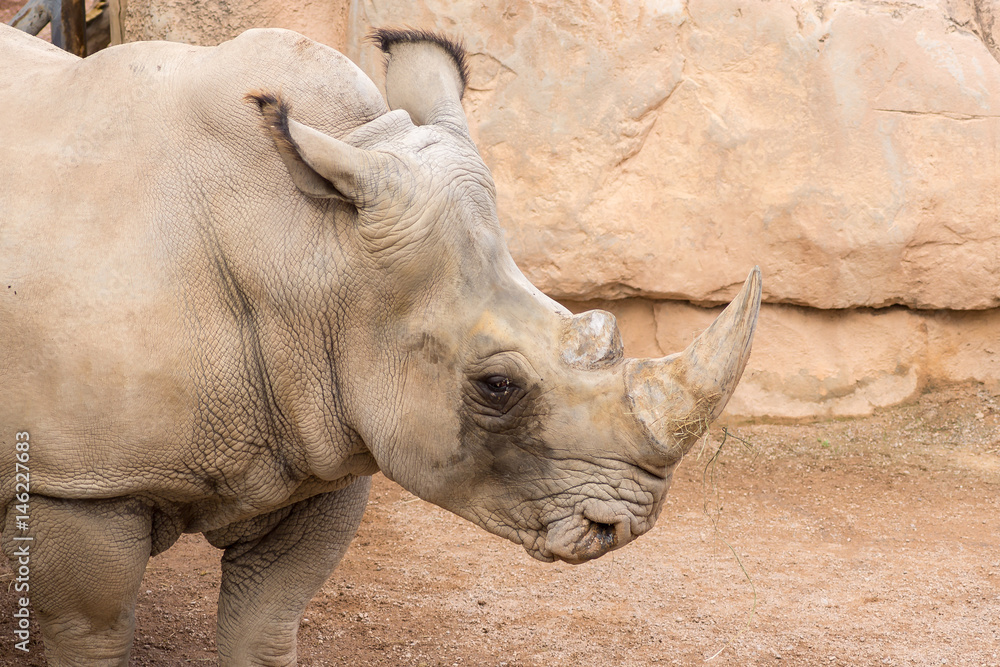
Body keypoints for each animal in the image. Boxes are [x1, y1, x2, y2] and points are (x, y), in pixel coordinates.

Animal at [0, 23, 760, 666]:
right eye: (497, 386)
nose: (624, 526)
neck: (310, 247)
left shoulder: (312, 436)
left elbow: (264, 626)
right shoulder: (81, 482)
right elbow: (93, 635)